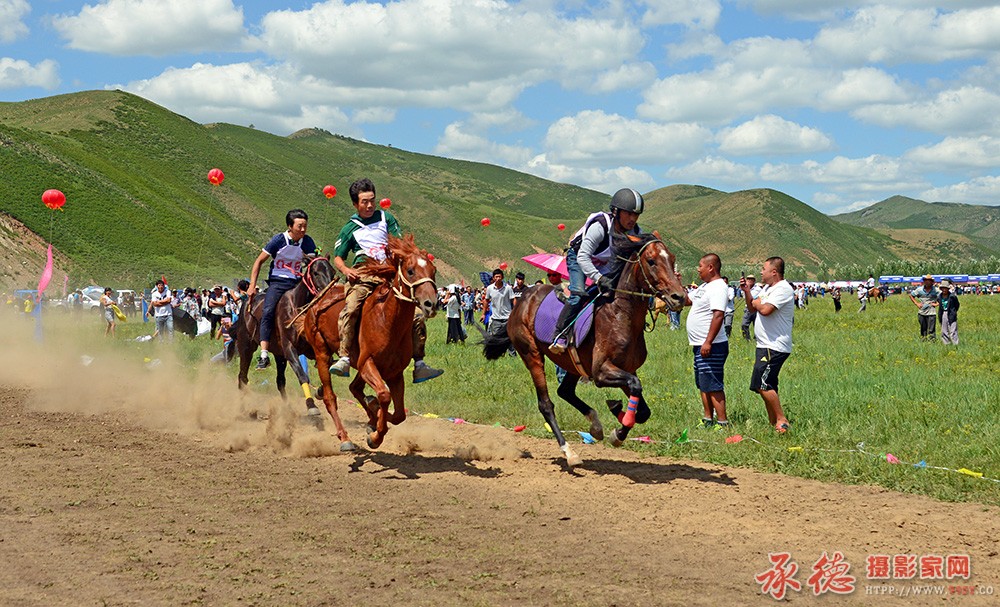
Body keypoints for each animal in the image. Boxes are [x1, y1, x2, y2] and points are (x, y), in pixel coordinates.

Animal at [234, 255, 340, 418]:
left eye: (333, 271)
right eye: (315, 273)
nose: (330, 294)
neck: (297, 308)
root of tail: (247, 304)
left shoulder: (311, 349)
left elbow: (326, 370)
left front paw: (320, 392)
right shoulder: (290, 349)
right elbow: (302, 375)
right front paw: (311, 405)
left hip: (279, 355)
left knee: (280, 381)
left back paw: (287, 409)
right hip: (246, 347)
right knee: (242, 377)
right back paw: (244, 408)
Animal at [296, 233, 438, 452]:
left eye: (433, 271)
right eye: (410, 271)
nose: (431, 303)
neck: (387, 320)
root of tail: (316, 301)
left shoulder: (394, 372)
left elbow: (399, 414)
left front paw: (374, 420)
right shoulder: (367, 363)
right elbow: (384, 396)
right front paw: (375, 436)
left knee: (355, 388)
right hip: (322, 353)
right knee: (330, 397)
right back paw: (345, 438)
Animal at [478, 233, 684, 466]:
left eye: (672, 259)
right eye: (651, 261)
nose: (679, 296)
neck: (621, 314)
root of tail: (521, 301)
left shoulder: (627, 368)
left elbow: (643, 410)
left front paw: (617, 416)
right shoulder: (601, 372)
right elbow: (635, 386)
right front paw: (617, 427)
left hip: (573, 364)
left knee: (565, 391)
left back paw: (595, 425)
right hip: (531, 354)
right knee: (546, 404)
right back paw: (569, 451)